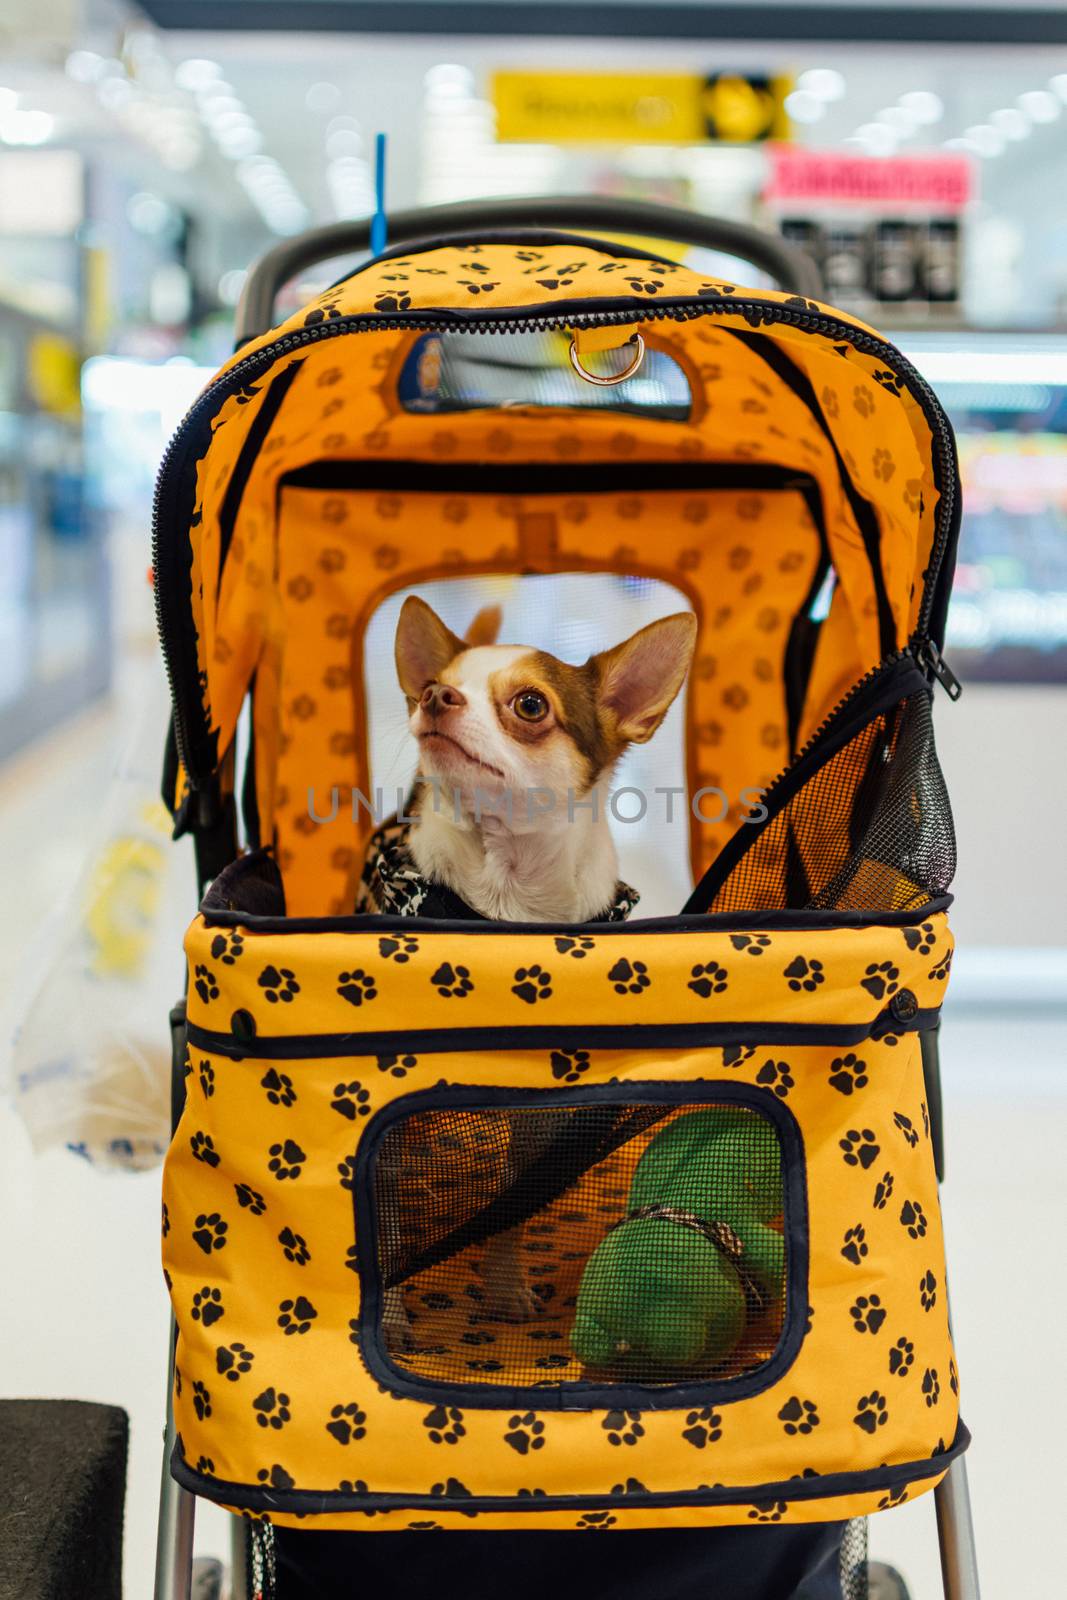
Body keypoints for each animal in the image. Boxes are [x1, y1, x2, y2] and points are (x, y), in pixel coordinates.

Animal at [364, 595, 700, 1344]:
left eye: (528, 704)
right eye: (433, 686)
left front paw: (503, 1283)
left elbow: (512, 1205)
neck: (503, 890)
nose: (435, 696)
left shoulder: (539, 1121)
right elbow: (387, 1229)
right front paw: (391, 1315)